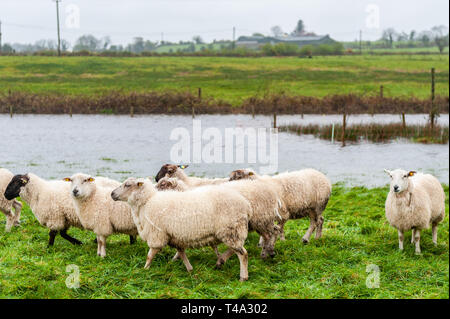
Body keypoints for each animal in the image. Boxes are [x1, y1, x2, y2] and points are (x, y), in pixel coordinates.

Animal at [110, 179, 251, 282]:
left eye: (127, 185)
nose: (111, 194)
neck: (147, 203)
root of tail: (246, 204)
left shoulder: (157, 234)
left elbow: (150, 255)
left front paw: (144, 270)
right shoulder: (175, 237)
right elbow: (181, 253)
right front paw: (190, 270)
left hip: (231, 229)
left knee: (243, 254)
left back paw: (243, 277)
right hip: (231, 232)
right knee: (235, 250)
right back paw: (221, 261)